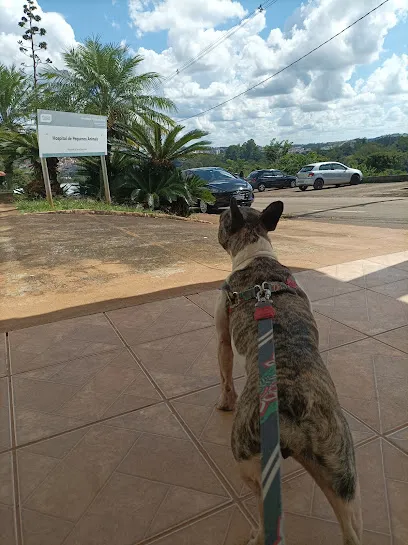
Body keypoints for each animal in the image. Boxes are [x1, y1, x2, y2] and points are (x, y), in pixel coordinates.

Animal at [215, 200, 362, 544]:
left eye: (223, 219)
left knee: (261, 506)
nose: (216, 215)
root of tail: (294, 400)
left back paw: (257, 533)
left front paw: (225, 402)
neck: (257, 252)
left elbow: (225, 375)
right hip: (339, 467)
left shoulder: (222, 336)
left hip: (248, 460)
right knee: (351, 527)